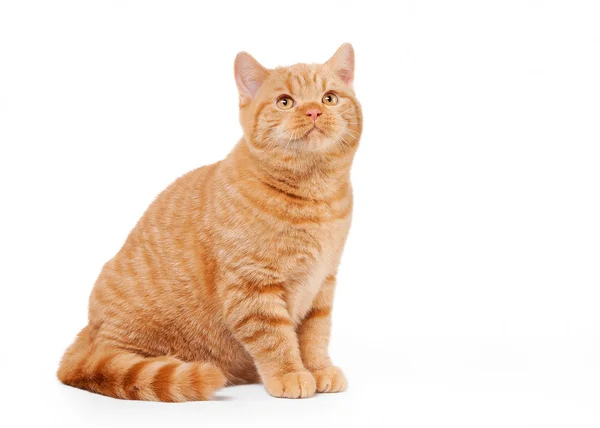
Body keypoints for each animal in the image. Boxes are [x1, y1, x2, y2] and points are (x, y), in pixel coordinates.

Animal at [58, 41, 364, 400]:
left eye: (329, 98)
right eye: (285, 102)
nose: (314, 111)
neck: (315, 195)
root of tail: (87, 335)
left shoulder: (322, 283)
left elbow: (315, 334)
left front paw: (317, 368)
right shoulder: (251, 285)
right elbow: (275, 338)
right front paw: (290, 373)